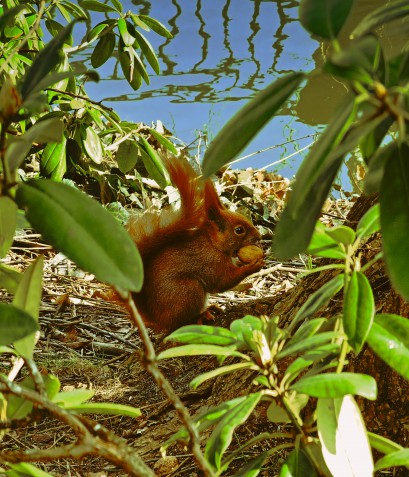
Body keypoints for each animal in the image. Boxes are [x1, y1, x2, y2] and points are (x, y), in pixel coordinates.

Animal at [127, 156, 262, 330]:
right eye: (239, 230)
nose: (259, 236)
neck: (212, 243)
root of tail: (158, 319)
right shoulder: (211, 263)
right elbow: (222, 281)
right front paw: (253, 266)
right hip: (189, 290)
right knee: (180, 322)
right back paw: (199, 316)